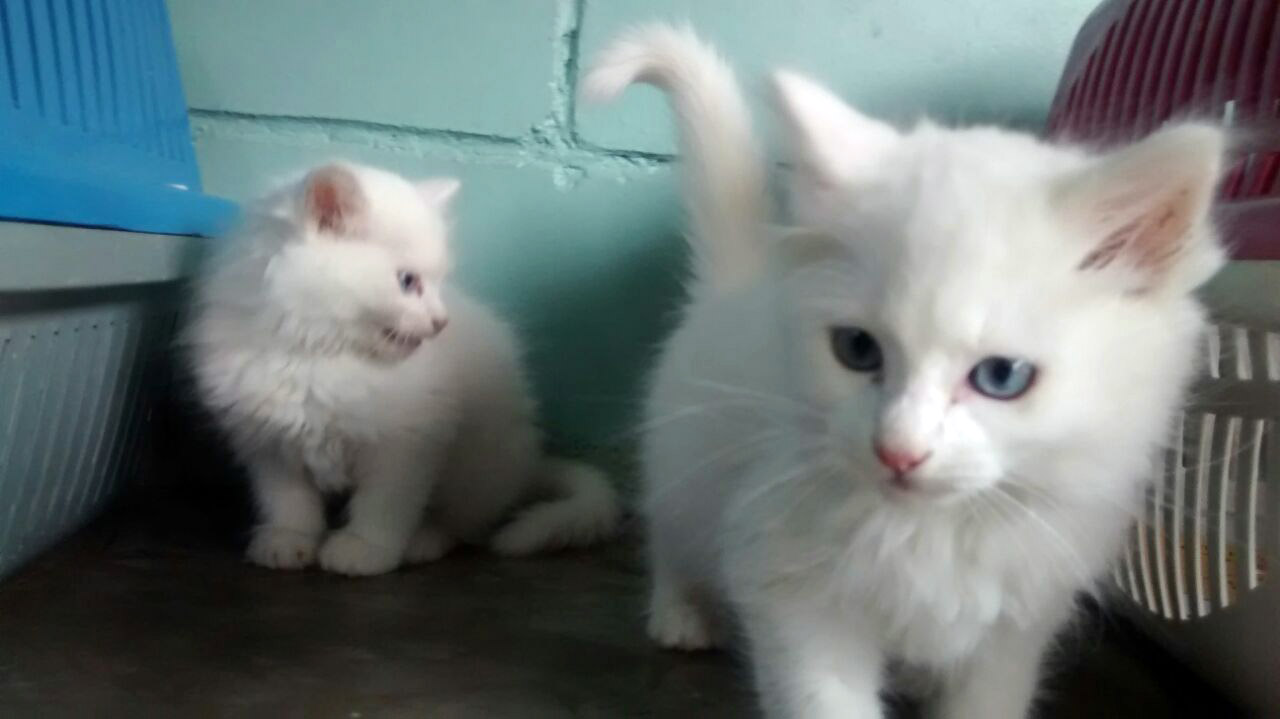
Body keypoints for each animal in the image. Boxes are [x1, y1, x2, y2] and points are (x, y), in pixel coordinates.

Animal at [186, 162, 622, 575]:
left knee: (463, 521)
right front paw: (288, 540)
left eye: (440, 282)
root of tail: (526, 465)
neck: (318, 355)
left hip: (479, 458)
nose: (441, 321)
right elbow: (287, 500)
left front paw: (365, 550)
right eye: (408, 281)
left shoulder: (406, 442)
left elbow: (386, 504)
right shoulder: (267, 442)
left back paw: (424, 541)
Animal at [586, 25, 1223, 711]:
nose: (898, 451)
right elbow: (824, 701)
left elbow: (986, 700)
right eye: (857, 350)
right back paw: (680, 613)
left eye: (1002, 377)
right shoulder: (791, 588)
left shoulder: (1019, 618)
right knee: (670, 533)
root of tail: (742, 273)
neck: (933, 531)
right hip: (683, 460)